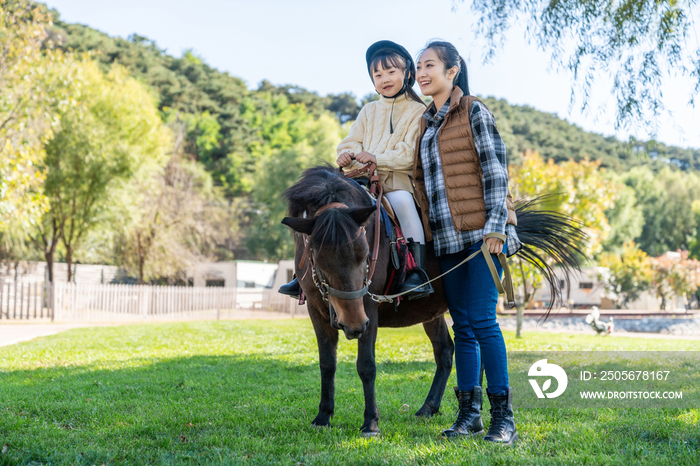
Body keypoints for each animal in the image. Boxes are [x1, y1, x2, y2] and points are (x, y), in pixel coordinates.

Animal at [282, 167, 584, 436]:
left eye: (366, 254)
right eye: (318, 257)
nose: (354, 324)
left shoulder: (369, 308)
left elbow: (366, 366)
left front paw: (371, 423)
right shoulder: (317, 311)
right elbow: (327, 364)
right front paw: (323, 417)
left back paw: (474, 415)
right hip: (433, 312)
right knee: (446, 352)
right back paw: (431, 407)